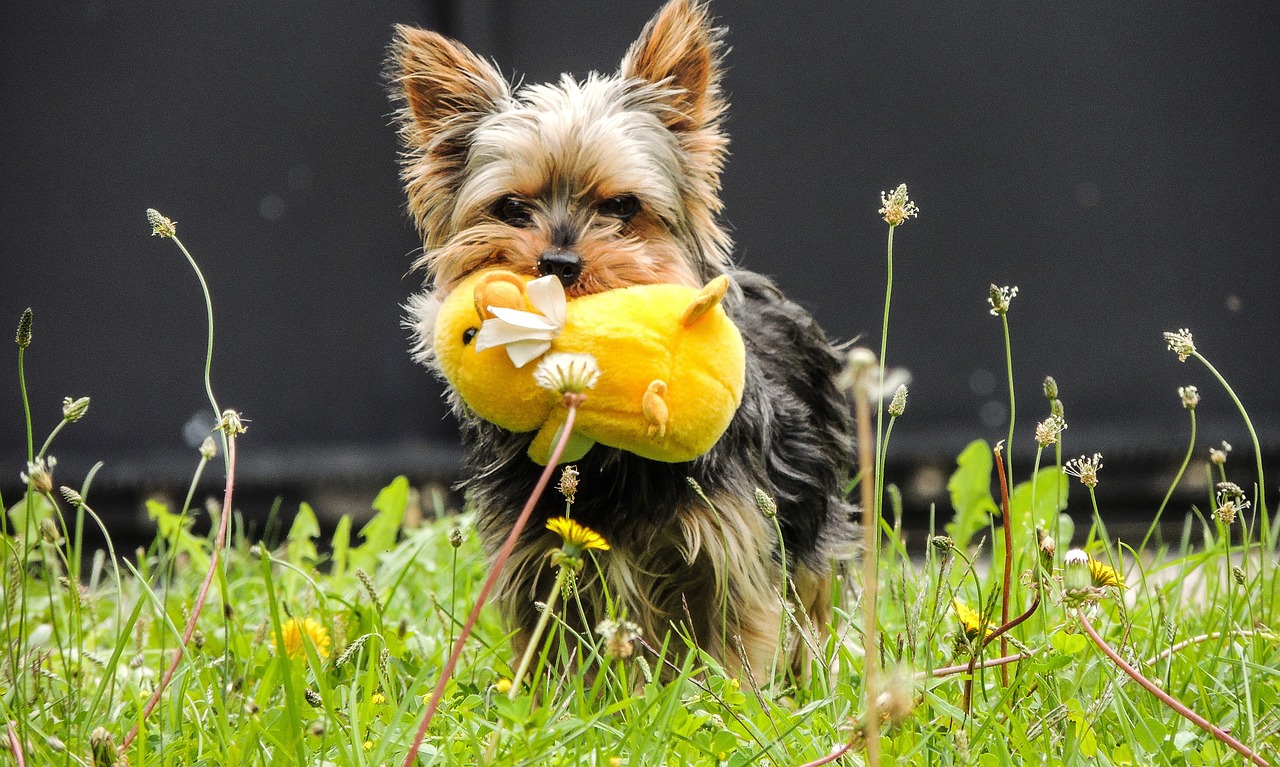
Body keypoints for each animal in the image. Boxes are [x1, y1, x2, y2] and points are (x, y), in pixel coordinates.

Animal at [386, 0, 849, 686]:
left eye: (623, 206)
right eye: (512, 208)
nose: (557, 262)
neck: (604, 448)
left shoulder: (729, 549)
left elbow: (734, 645)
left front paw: (728, 703)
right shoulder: (540, 554)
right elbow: (554, 651)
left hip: (811, 524)